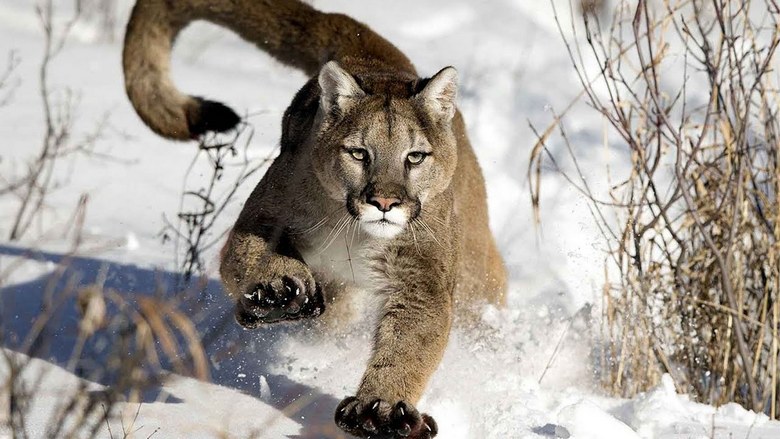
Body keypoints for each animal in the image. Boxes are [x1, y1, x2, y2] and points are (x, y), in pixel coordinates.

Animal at [122, 0, 506, 436]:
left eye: (415, 157)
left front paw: (382, 408)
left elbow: (411, 341)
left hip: (474, 275)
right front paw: (276, 290)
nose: (385, 202)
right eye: (359, 153)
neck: (355, 232)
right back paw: (264, 308)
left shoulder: (420, 275)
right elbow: (242, 257)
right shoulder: (263, 216)